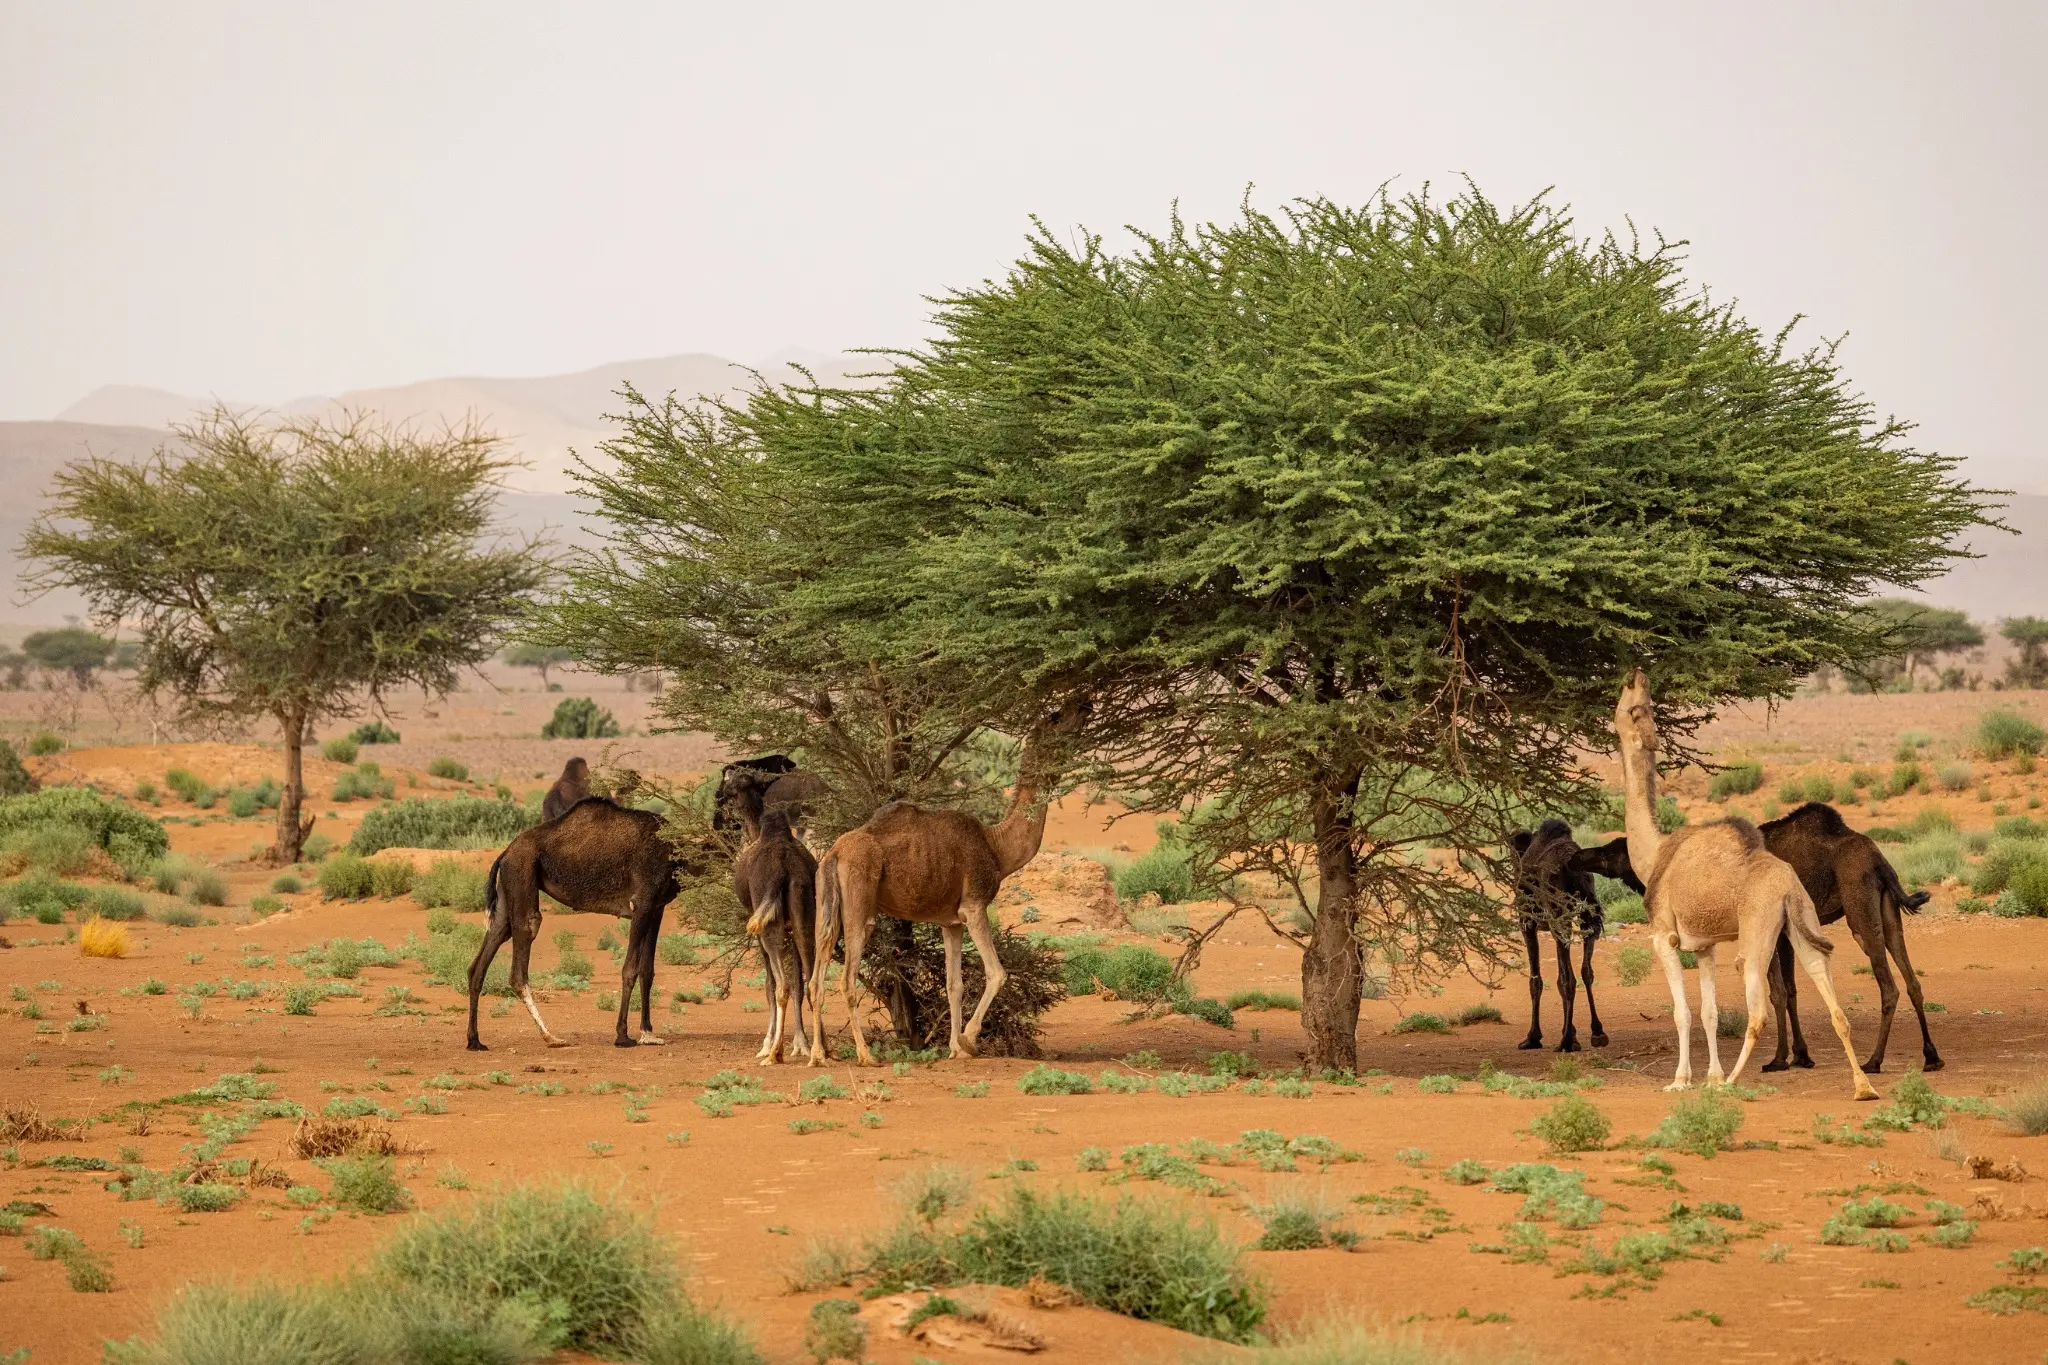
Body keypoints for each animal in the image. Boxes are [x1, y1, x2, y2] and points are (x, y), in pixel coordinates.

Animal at [465, 797, 681, 1050]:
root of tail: (505, 853)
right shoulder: (642, 902)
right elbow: (630, 969)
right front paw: (623, 1036)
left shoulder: (656, 907)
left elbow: (647, 970)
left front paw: (648, 1033)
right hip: (521, 871)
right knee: (525, 941)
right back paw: (551, 1037)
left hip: (507, 887)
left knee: (488, 947)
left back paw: (475, 1040)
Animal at [808, 703, 1085, 1066]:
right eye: (1055, 719)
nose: (1083, 705)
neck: (997, 848)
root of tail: (834, 854)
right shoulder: (974, 906)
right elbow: (997, 972)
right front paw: (969, 1040)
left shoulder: (950, 922)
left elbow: (955, 984)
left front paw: (954, 1047)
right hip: (858, 902)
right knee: (847, 978)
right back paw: (865, 1055)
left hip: (825, 904)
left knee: (815, 976)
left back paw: (817, 1055)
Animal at [1507, 821, 1639, 1052]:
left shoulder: (1527, 922)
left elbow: (1536, 981)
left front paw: (1533, 1037)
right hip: (1588, 913)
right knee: (1586, 971)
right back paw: (1597, 1032)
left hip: (1558, 916)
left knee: (1568, 977)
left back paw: (1566, 1041)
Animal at [1613, 670, 1876, 1098]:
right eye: (1643, 704)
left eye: (1632, 706)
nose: (1636, 674)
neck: (1654, 854)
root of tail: (1786, 887)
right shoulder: (1704, 946)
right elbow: (1710, 1012)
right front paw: (1709, 1075)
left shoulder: (1663, 935)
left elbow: (1683, 1012)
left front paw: (1683, 1080)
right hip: (1803, 921)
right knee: (1835, 1004)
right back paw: (1863, 1086)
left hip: (1756, 933)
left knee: (1758, 1011)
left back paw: (1733, 1082)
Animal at [1758, 802, 1941, 1074]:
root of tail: (1879, 861)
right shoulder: (1785, 932)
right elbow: (1790, 990)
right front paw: (1801, 1056)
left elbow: (1778, 992)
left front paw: (1778, 1060)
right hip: (1888, 910)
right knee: (1912, 980)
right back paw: (1932, 1057)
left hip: (1859, 907)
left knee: (1889, 987)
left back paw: (1873, 1061)